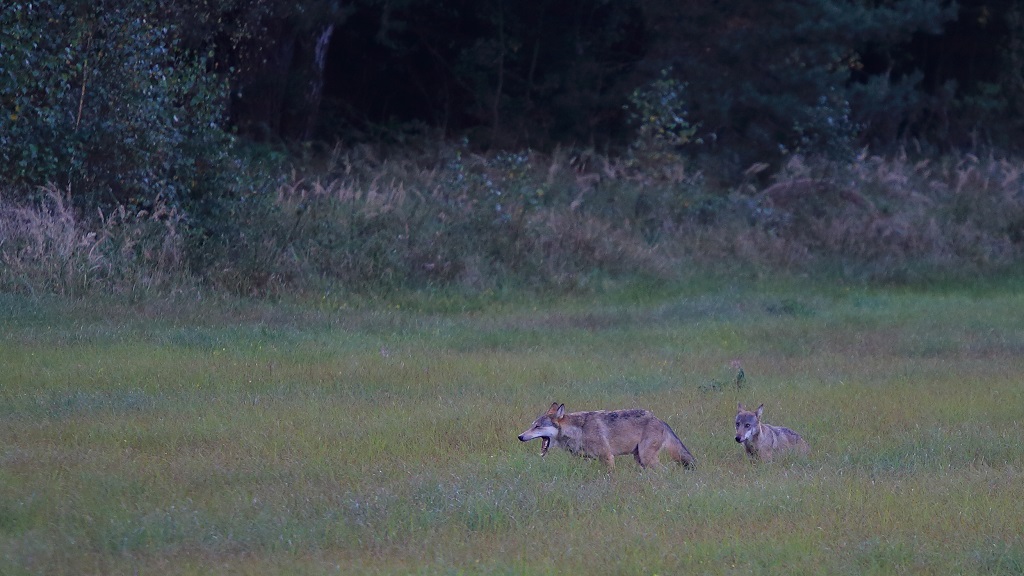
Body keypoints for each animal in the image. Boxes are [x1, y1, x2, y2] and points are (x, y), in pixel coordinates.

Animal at [518, 402, 696, 469]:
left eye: (537, 426)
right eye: (532, 425)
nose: (520, 436)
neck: (578, 430)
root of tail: (660, 420)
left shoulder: (607, 457)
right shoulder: (588, 460)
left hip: (646, 458)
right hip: (640, 459)